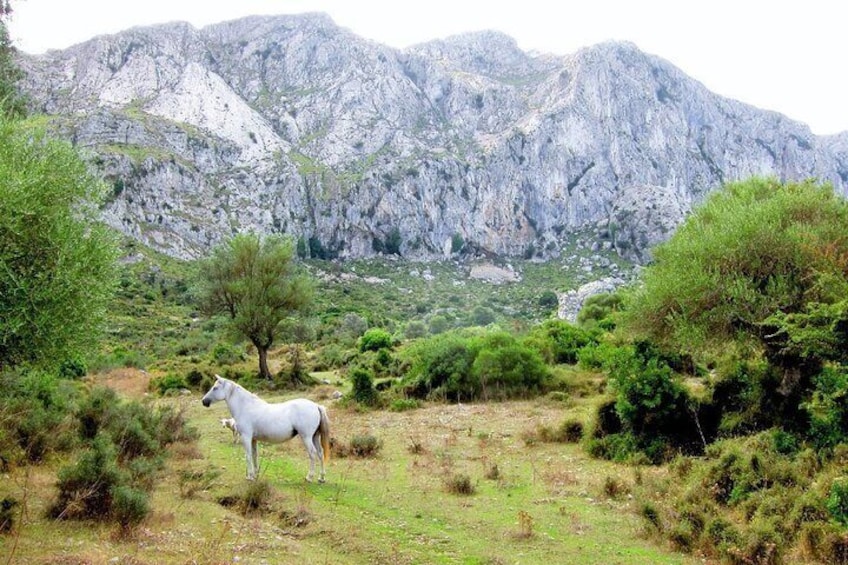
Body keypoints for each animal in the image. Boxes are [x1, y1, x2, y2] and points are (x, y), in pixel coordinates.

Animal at [200, 374, 330, 480]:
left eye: (215, 388)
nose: (204, 401)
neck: (245, 407)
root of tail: (316, 406)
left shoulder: (246, 437)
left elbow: (248, 456)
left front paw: (250, 476)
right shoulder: (253, 439)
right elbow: (254, 456)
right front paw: (255, 474)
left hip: (306, 437)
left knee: (313, 454)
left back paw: (309, 477)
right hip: (314, 437)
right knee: (320, 453)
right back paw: (321, 478)